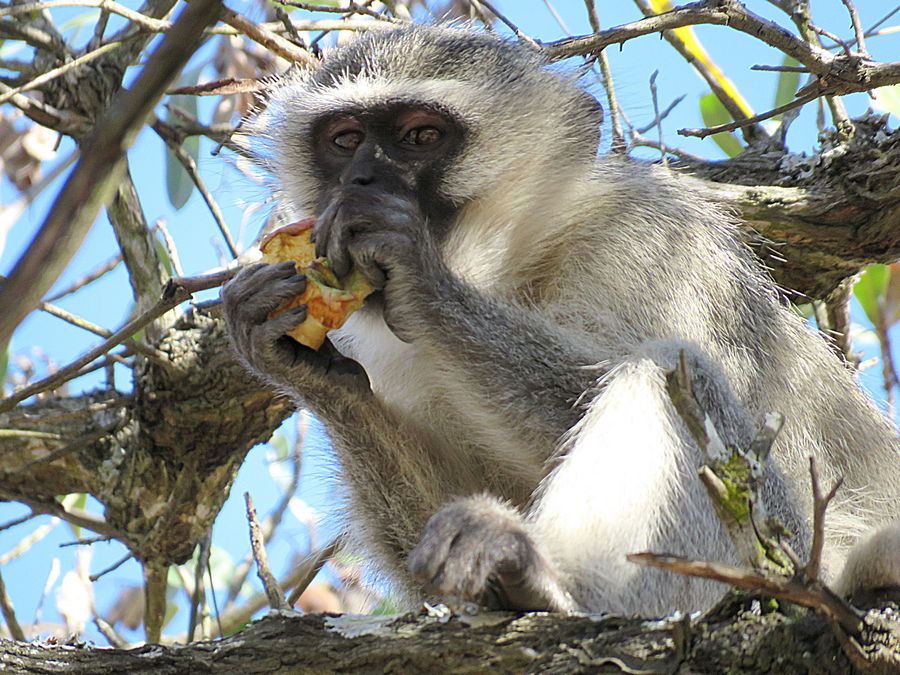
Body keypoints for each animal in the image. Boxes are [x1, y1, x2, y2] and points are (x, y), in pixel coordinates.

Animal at [223, 26, 900, 616]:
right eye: (343, 140)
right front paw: (309, 371)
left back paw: (544, 581)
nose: (360, 178)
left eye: (421, 135)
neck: (516, 268)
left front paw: (422, 278)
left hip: (780, 550)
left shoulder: (651, 245)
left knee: (673, 376)